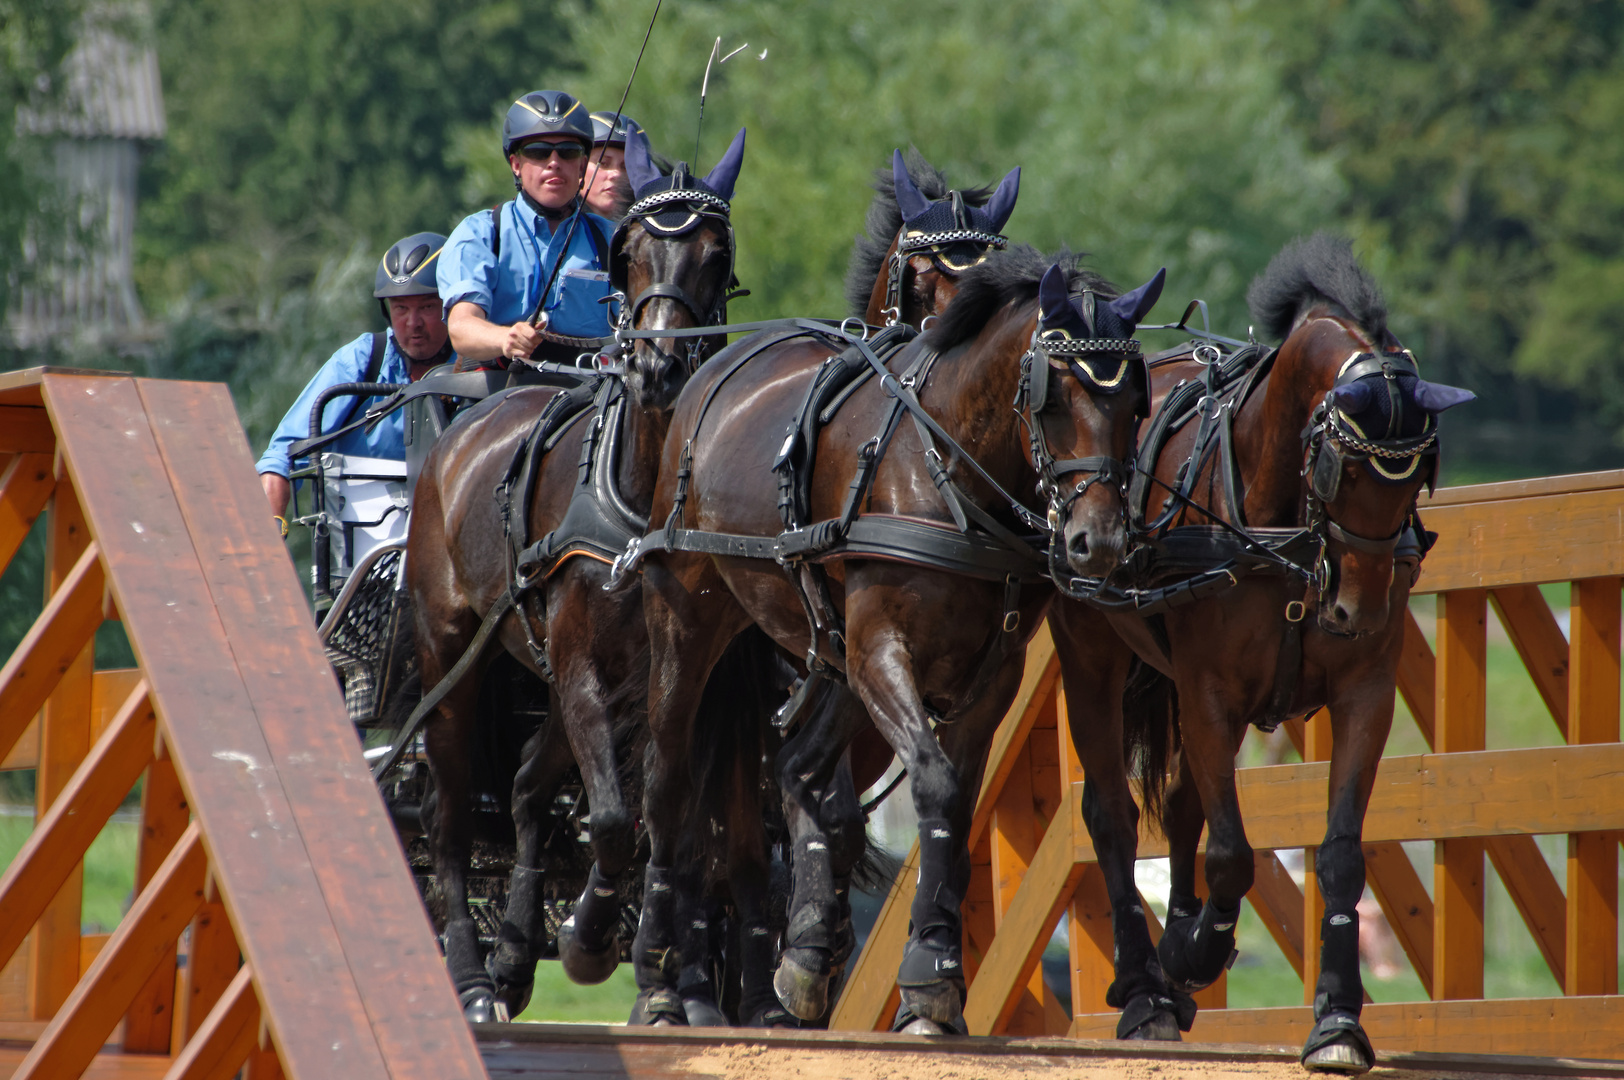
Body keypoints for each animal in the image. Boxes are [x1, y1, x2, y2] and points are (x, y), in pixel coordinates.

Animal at [412, 128, 753, 1019]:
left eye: (717, 253)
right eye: (629, 255)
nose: (661, 369)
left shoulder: (696, 673)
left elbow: (670, 812)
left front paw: (662, 971)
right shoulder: (582, 664)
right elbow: (609, 818)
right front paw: (594, 938)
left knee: (530, 788)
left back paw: (514, 951)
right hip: (454, 654)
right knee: (450, 815)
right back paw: (472, 974)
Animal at [633, 243, 1169, 1026]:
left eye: (1135, 402)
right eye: (1054, 396)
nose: (1095, 542)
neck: (946, 472)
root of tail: (711, 372)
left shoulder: (989, 675)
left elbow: (955, 799)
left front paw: (933, 964)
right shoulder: (884, 650)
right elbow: (937, 783)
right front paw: (931, 969)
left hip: (835, 655)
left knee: (796, 767)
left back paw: (806, 951)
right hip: (690, 620)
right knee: (668, 782)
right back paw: (658, 979)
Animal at [1045, 232, 1481, 1065]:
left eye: (1419, 473)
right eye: (1343, 467)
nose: (1357, 610)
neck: (1285, 533)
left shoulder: (1364, 694)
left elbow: (1339, 852)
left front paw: (1338, 1018)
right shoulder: (1211, 696)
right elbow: (1232, 853)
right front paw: (1198, 951)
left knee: (1184, 802)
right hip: (1094, 654)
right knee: (1114, 812)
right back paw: (1150, 985)